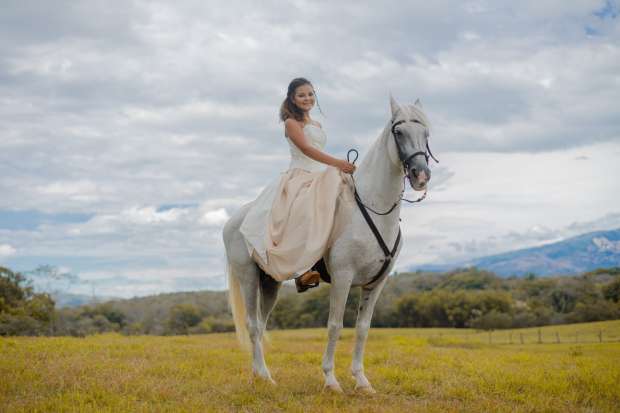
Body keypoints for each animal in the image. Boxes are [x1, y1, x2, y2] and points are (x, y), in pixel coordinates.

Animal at [222, 96, 432, 392]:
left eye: (426, 134)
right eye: (399, 132)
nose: (420, 175)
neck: (374, 207)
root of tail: (235, 220)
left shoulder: (376, 283)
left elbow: (362, 328)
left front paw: (362, 381)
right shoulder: (343, 277)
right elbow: (335, 325)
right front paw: (331, 380)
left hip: (270, 282)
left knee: (261, 326)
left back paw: (260, 375)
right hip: (248, 277)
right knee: (252, 325)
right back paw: (265, 377)